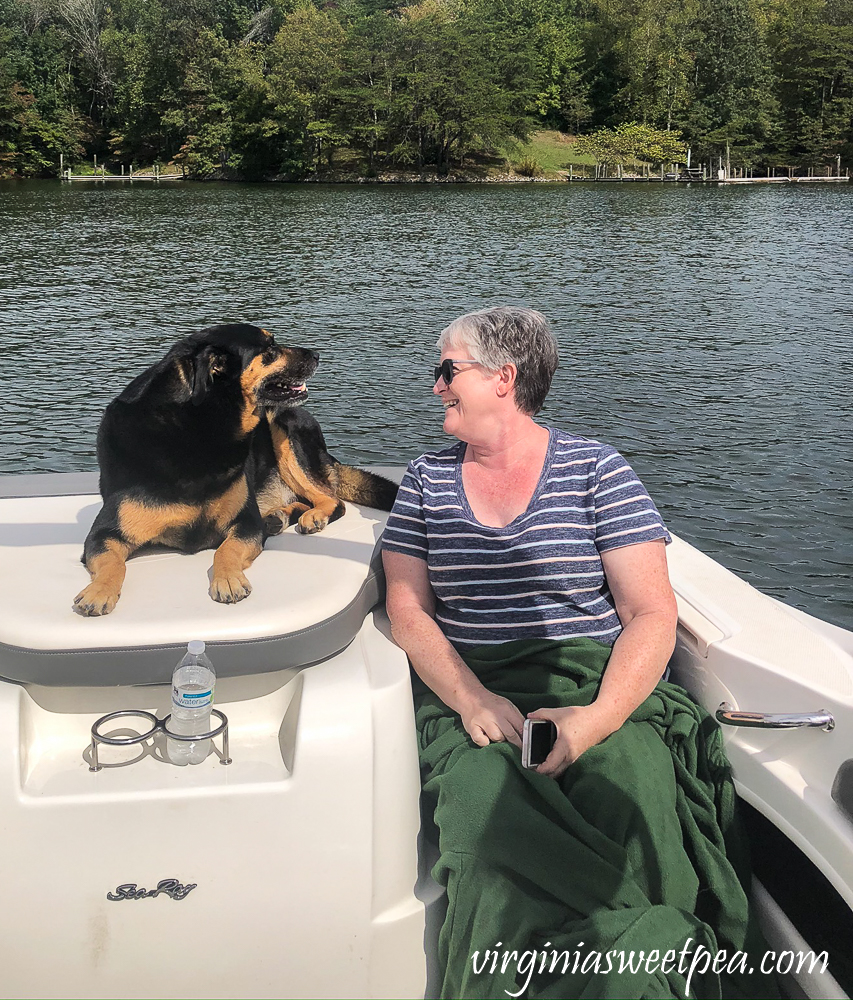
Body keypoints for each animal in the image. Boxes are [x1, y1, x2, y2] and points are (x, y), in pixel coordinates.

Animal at [73, 322, 400, 616]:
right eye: (269, 348)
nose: (317, 354)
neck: (201, 426)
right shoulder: (104, 534)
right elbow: (112, 562)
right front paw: (98, 591)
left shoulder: (246, 522)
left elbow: (226, 549)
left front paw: (228, 579)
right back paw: (279, 517)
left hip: (283, 427)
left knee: (332, 500)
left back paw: (311, 516)